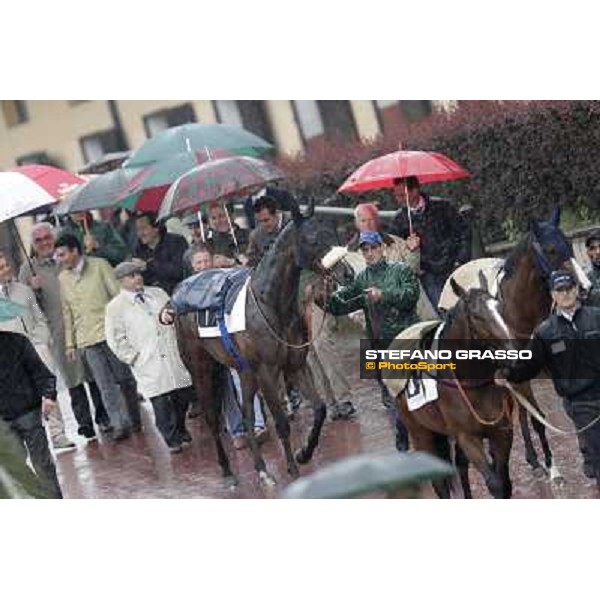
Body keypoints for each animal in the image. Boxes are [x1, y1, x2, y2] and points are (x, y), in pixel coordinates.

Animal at [166, 197, 340, 488]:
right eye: (313, 239)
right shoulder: (267, 371)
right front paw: (292, 467)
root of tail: (178, 294)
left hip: (244, 370)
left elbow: (320, 409)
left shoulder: (294, 364)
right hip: (201, 368)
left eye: (333, 232)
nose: (346, 272)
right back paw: (227, 471)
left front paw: (304, 453)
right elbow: (281, 422)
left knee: (247, 412)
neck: (270, 304)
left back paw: (261, 469)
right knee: (212, 419)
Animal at [396, 274, 516, 500]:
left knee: (460, 467)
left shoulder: (502, 431)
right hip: (420, 433)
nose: (513, 354)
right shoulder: (467, 437)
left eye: (500, 307)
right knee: (439, 482)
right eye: (477, 316)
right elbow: (495, 483)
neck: (474, 383)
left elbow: (504, 483)